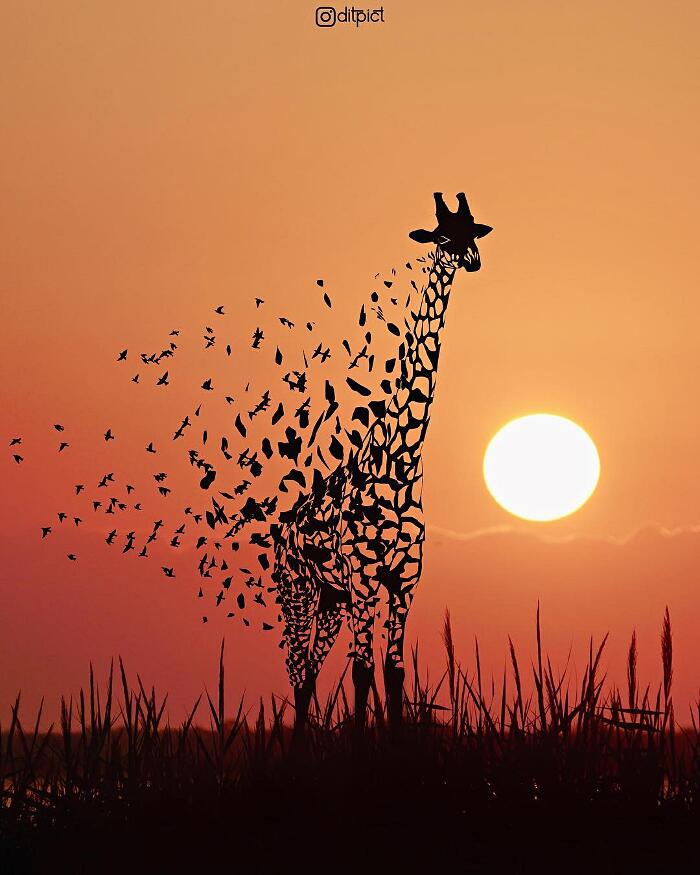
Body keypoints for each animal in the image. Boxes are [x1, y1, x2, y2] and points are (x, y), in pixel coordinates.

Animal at [271, 192, 492, 735]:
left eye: (473, 230)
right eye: (442, 235)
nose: (470, 259)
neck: (402, 462)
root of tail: (282, 530)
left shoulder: (403, 582)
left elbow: (392, 673)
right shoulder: (366, 578)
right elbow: (362, 670)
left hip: (332, 599)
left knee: (309, 672)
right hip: (299, 591)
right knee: (296, 670)